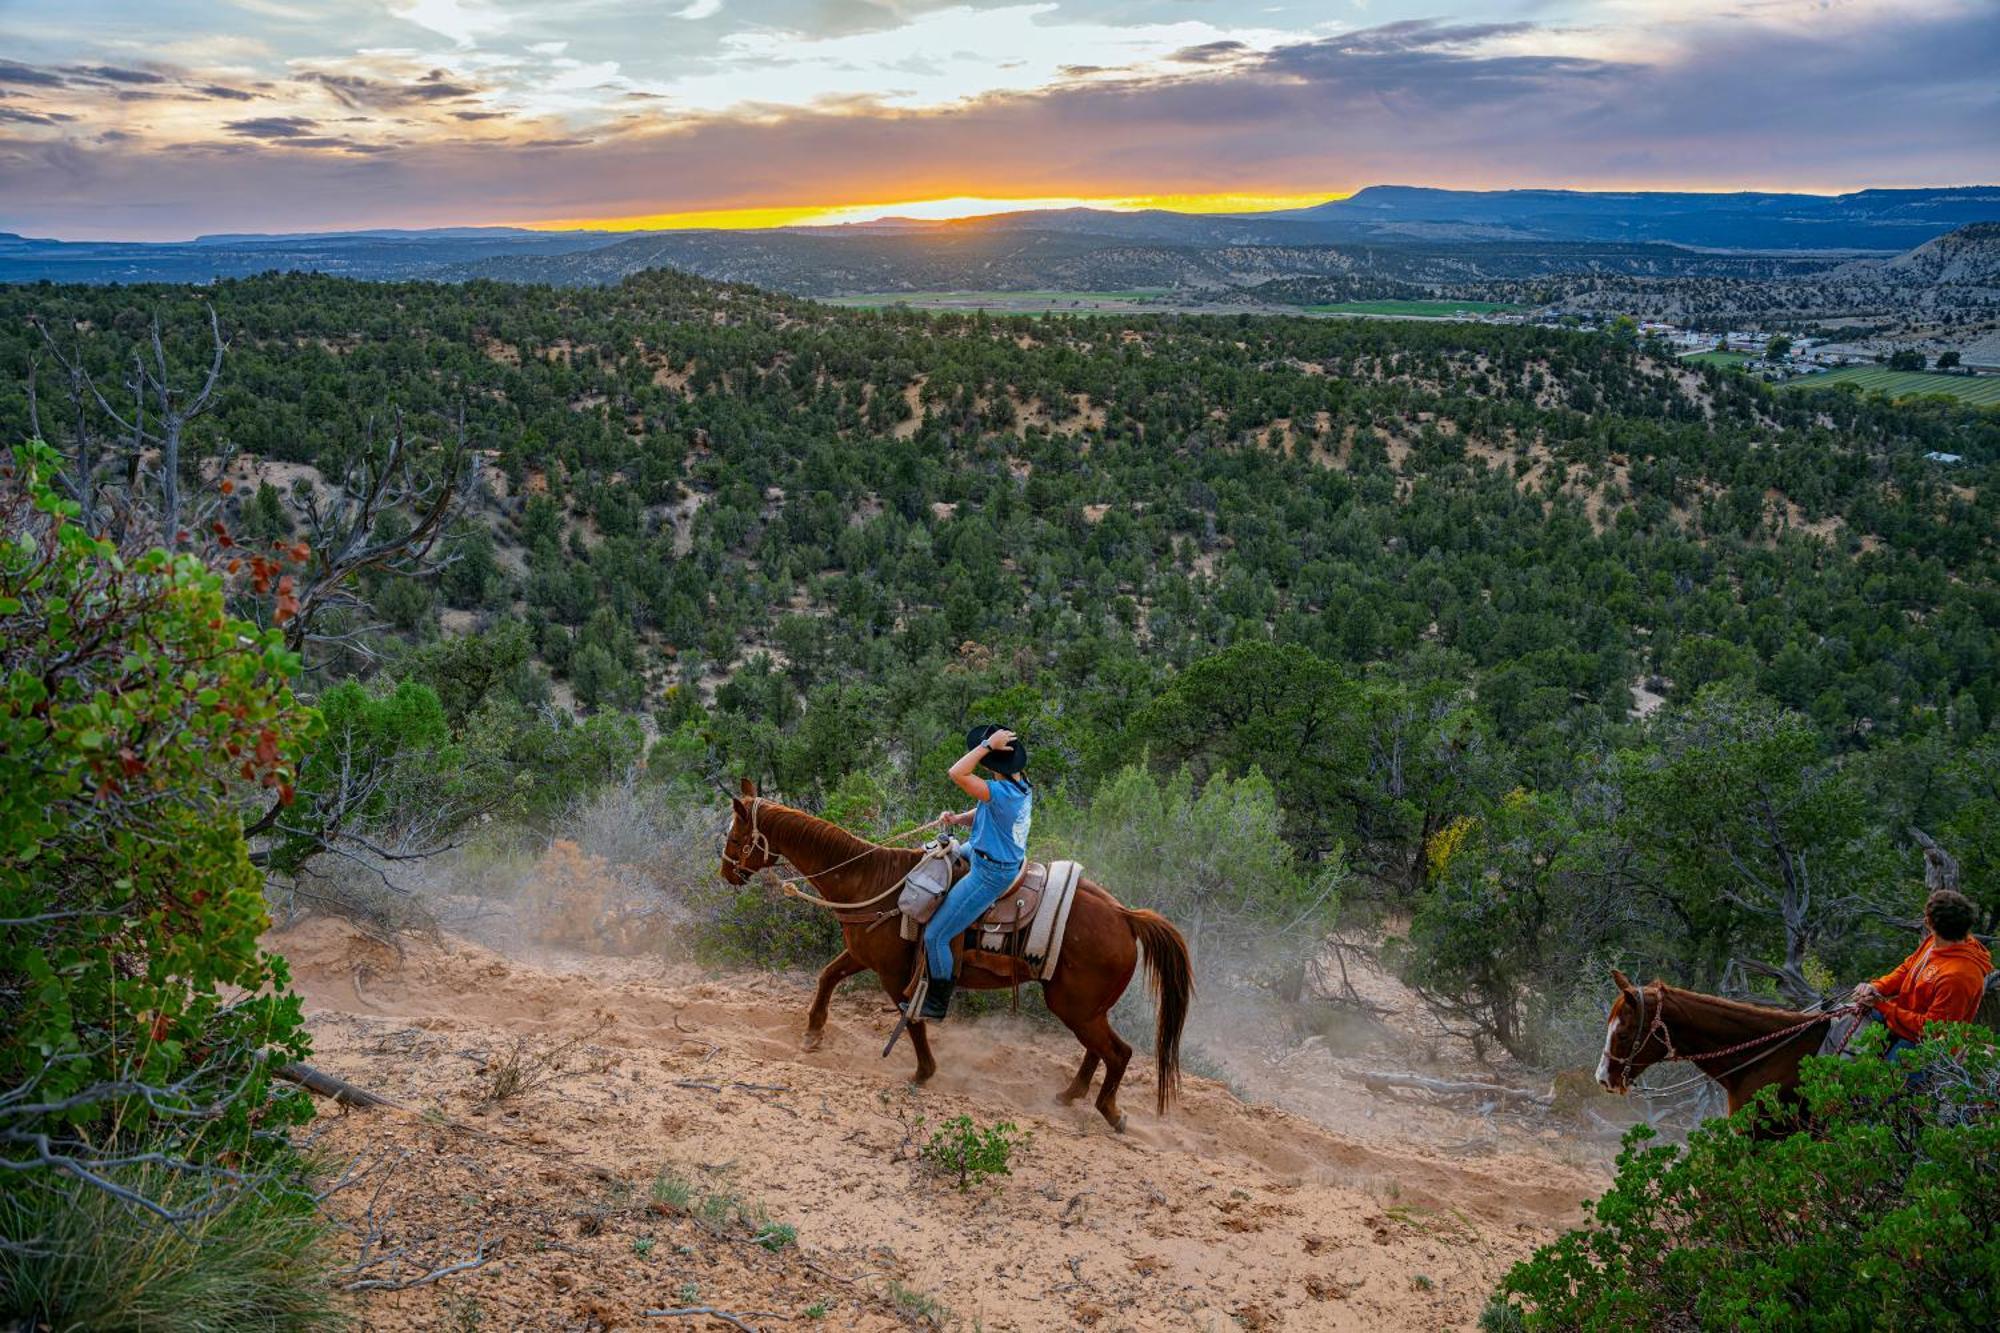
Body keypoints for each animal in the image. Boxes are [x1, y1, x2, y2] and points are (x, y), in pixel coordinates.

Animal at [720, 772, 1184, 1128]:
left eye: (737, 835)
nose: (726, 873)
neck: (870, 882)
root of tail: (1124, 915)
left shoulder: (894, 973)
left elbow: (911, 1018)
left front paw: (923, 1072)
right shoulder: (863, 955)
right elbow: (827, 976)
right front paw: (813, 1033)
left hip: (1076, 1007)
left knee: (1118, 1053)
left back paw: (1110, 1112)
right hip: (1086, 1008)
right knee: (1098, 1050)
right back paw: (1069, 1095)